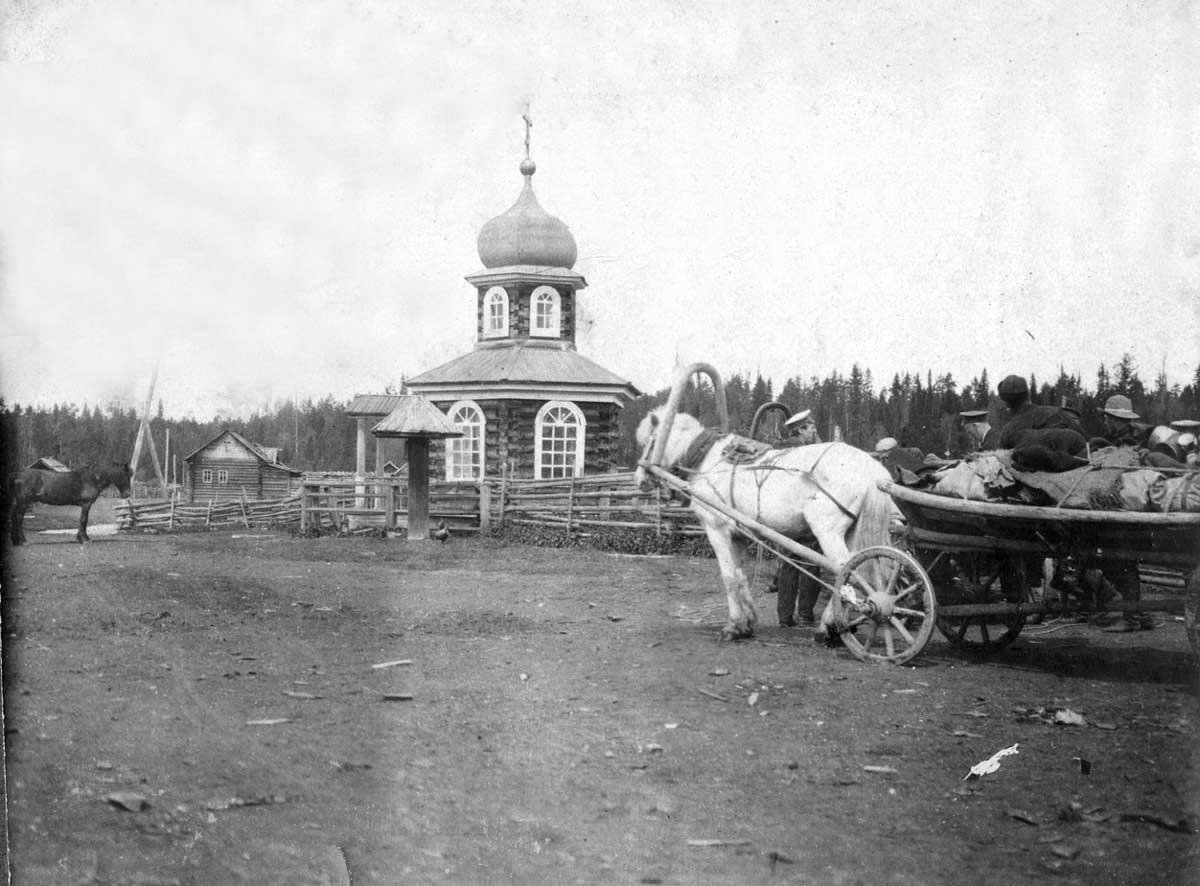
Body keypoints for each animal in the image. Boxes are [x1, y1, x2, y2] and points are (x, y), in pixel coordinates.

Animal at [633, 403, 897, 638]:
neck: (708, 459)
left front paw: (733, 626)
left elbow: (729, 577)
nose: (640, 479)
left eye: (648, 442)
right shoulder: (739, 535)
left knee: (844, 570)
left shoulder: (717, 529)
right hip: (853, 531)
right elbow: (740, 575)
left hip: (827, 531)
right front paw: (747, 622)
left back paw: (828, 628)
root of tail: (872, 469)